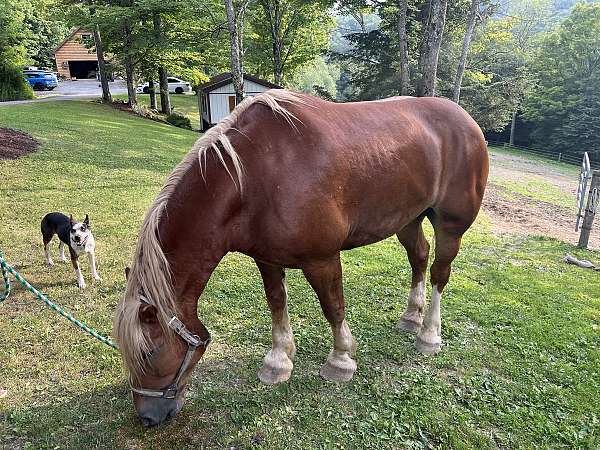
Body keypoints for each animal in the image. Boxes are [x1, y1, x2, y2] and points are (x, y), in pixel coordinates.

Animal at [115, 89, 490, 426]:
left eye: (149, 353)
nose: (147, 418)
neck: (253, 176)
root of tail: (467, 121)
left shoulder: (322, 259)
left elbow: (333, 307)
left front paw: (340, 361)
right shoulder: (266, 259)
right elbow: (276, 303)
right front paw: (278, 361)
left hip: (450, 226)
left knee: (440, 272)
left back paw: (428, 335)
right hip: (407, 218)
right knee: (419, 258)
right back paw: (412, 316)